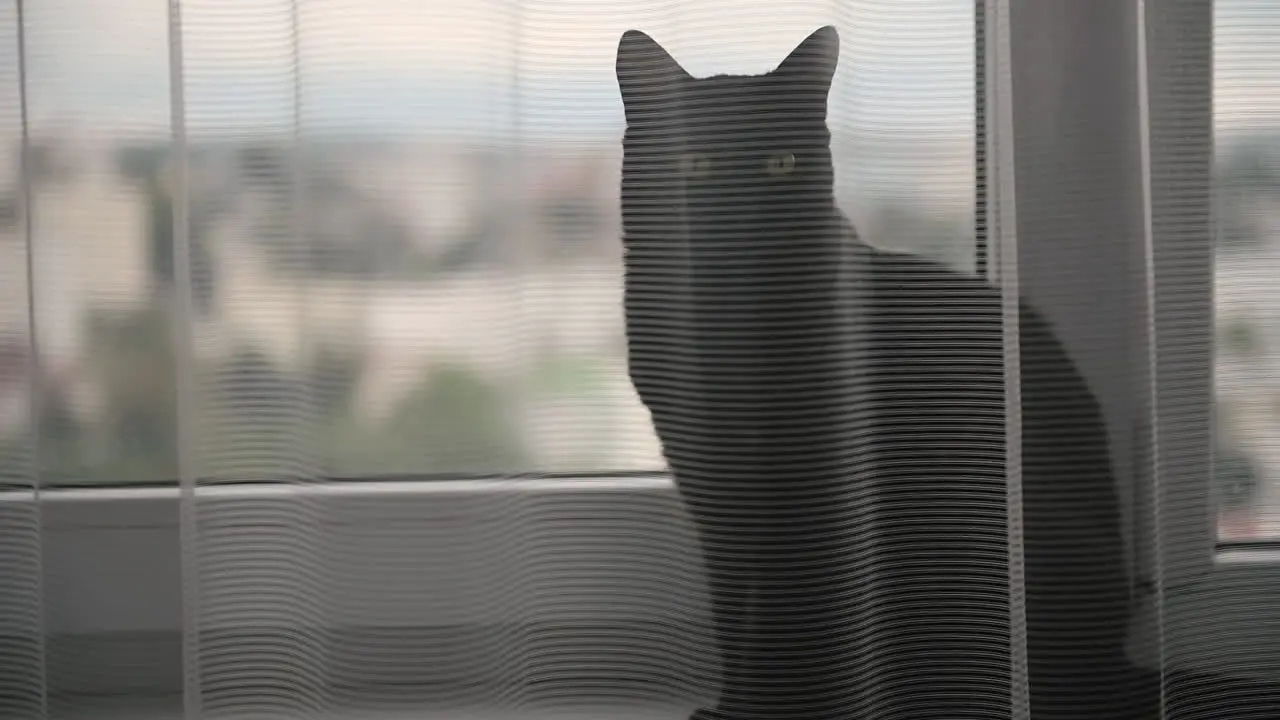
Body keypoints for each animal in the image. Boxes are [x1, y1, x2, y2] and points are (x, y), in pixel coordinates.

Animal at [616, 25, 1141, 712]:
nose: (740, 212)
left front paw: (755, 703)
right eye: (695, 163)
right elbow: (731, 612)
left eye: (780, 162)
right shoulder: (709, 482)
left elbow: (768, 620)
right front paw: (729, 702)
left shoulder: (808, 492)